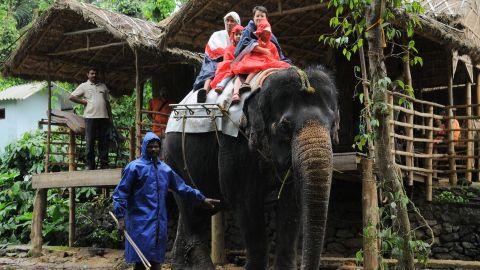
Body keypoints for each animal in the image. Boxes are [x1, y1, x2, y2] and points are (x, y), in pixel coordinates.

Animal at [163, 66, 340, 270]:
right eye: (284, 126)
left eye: (332, 124)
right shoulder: (234, 143)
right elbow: (244, 199)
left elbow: (291, 202)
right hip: (174, 159)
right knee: (193, 212)